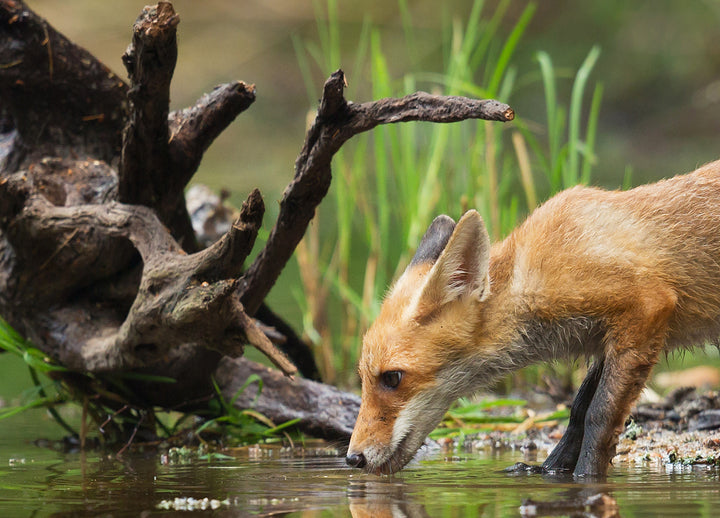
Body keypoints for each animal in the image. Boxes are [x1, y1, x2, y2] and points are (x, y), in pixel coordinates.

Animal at [345, 159, 720, 478]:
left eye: (392, 378)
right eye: (362, 379)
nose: (352, 458)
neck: (526, 277)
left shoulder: (646, 306)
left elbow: (599, 415)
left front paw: (586, 477)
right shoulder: (606, 337)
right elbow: (577, 411)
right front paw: (549, 470)